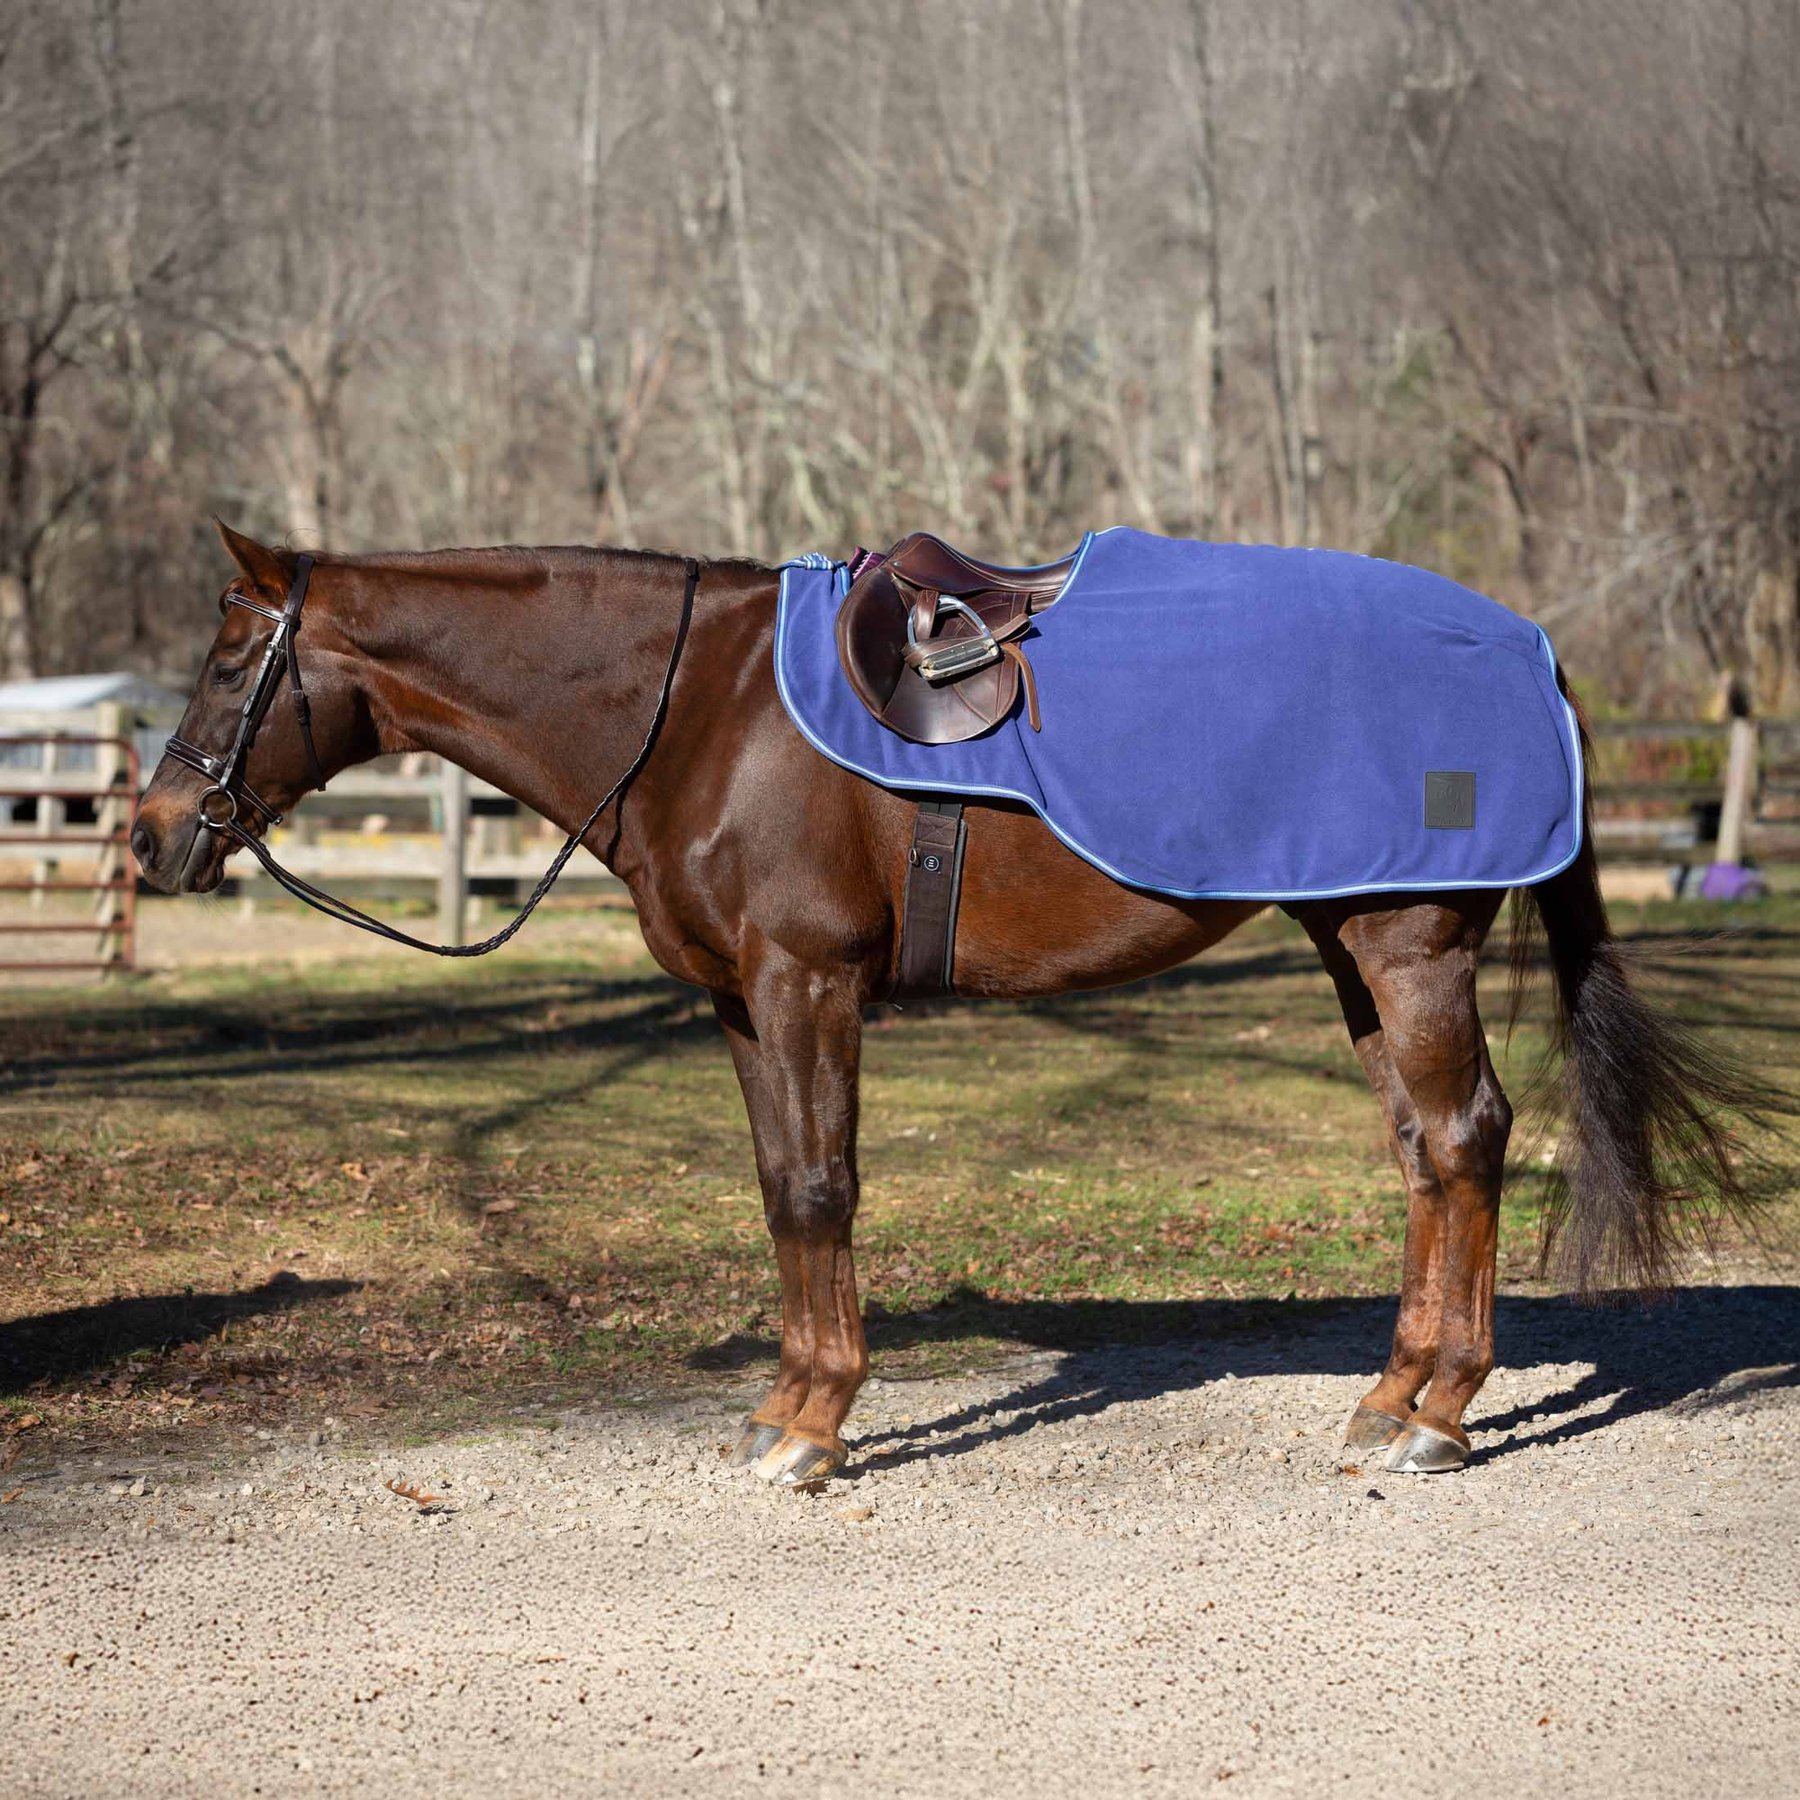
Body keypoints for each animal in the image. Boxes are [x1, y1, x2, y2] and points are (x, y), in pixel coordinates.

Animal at [130, 522, 1770, 1486]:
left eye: (229, 654)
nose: (149, 838)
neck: (700, 710)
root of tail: (1532, 649)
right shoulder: (745, 1006)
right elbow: (781, 1188)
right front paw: (785, 1407)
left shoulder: (806, 983)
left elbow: (820, 1188)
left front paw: (815, 1432)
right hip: (1349, 939)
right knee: (1426, 1154)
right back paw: (1390, 1397)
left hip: (1411, 944)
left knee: (1469, 1139)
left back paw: (1439, 1418)